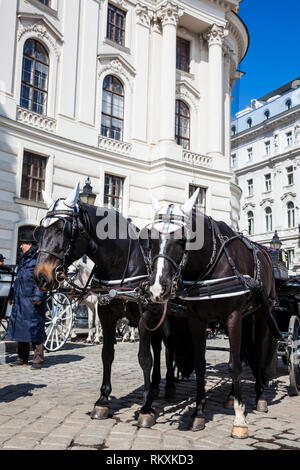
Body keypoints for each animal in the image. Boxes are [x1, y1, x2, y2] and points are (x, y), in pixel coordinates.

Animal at [33, 184, 192, 426]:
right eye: (41, 231)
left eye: (63, 230)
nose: (41, 276)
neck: (122, 263)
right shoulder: (106, 314)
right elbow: (107, 354)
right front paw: (103, 400)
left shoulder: (144, 317)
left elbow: (144, 358)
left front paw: (146, 408)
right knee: (158, 346)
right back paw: (155, 385)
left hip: (169, 317)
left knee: (168, 347)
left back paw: (169, 385)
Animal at [144, 189, 278, 438]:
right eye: (152, 239)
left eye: (182, 239)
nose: (157, 288)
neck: (212, 265)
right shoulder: (197, 320)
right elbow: (200, 363)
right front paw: (198, 413)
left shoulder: (233, 316)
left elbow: (235, 365)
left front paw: (240, 419)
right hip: (244, 318)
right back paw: (231, 396)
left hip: (262, 315)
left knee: (258, 352)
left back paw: (260, 396)